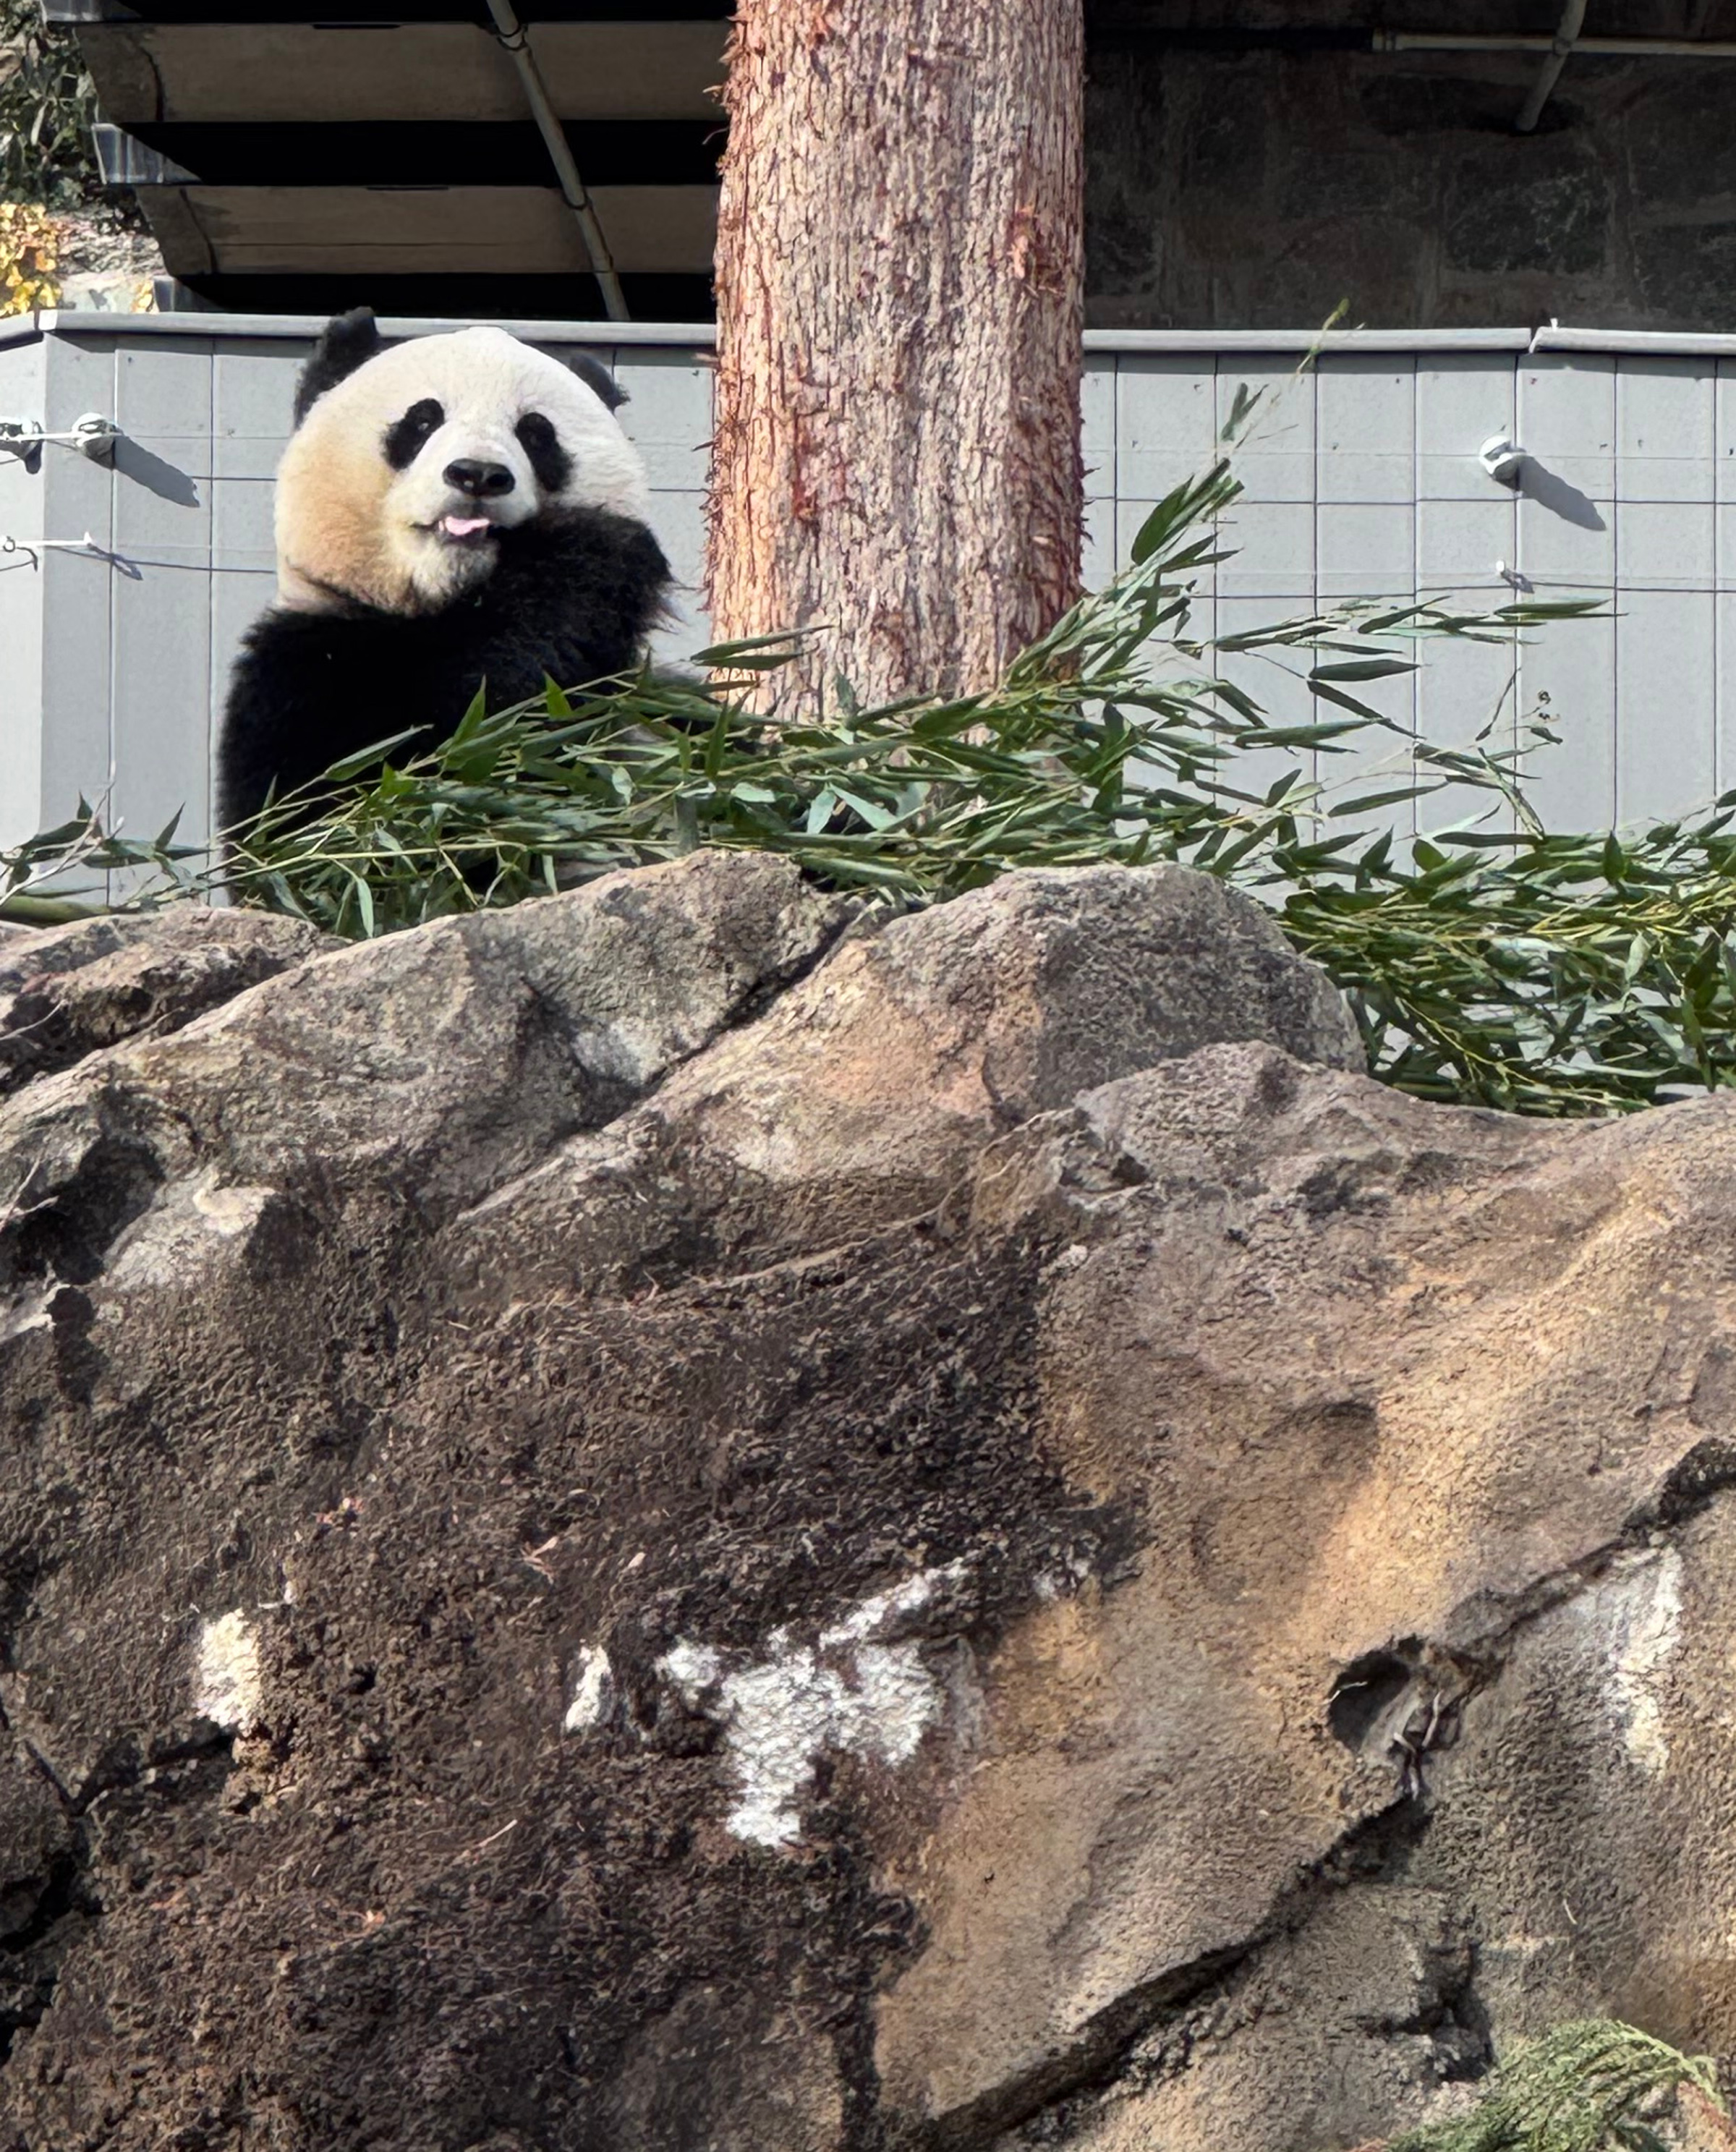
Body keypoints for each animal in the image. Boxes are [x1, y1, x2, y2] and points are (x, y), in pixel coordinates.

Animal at [216, 308, 672, 836]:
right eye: (423, 419)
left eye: (537, 433)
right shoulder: (303, 673)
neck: (450, 600)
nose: (477, 475)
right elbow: (358, 807)